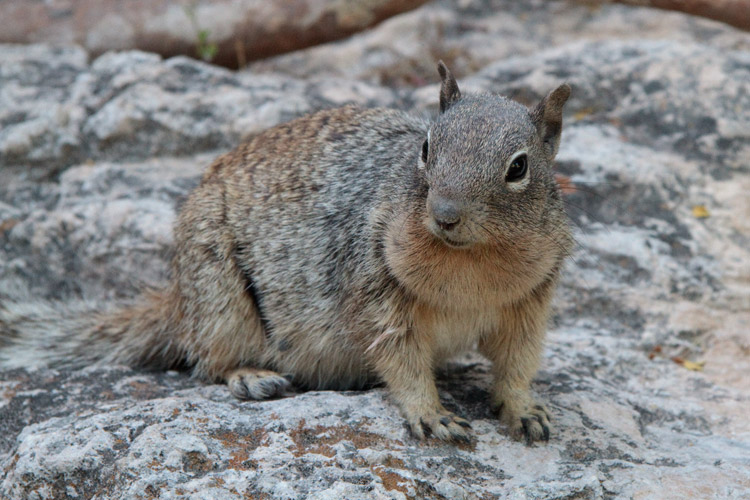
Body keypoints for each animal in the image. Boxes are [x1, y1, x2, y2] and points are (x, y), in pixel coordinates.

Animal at [2, 61, 572, 442]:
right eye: (427, 148)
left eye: (518, 167)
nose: (445, 214)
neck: (472, 262)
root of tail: (177, 302)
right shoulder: (376, 290)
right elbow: (402, 360)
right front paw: (431, 414)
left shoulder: (531, 300)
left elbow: (518, 362)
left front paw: (525, 410)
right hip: (220, 299)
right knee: (207, 361)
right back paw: (252, 377)